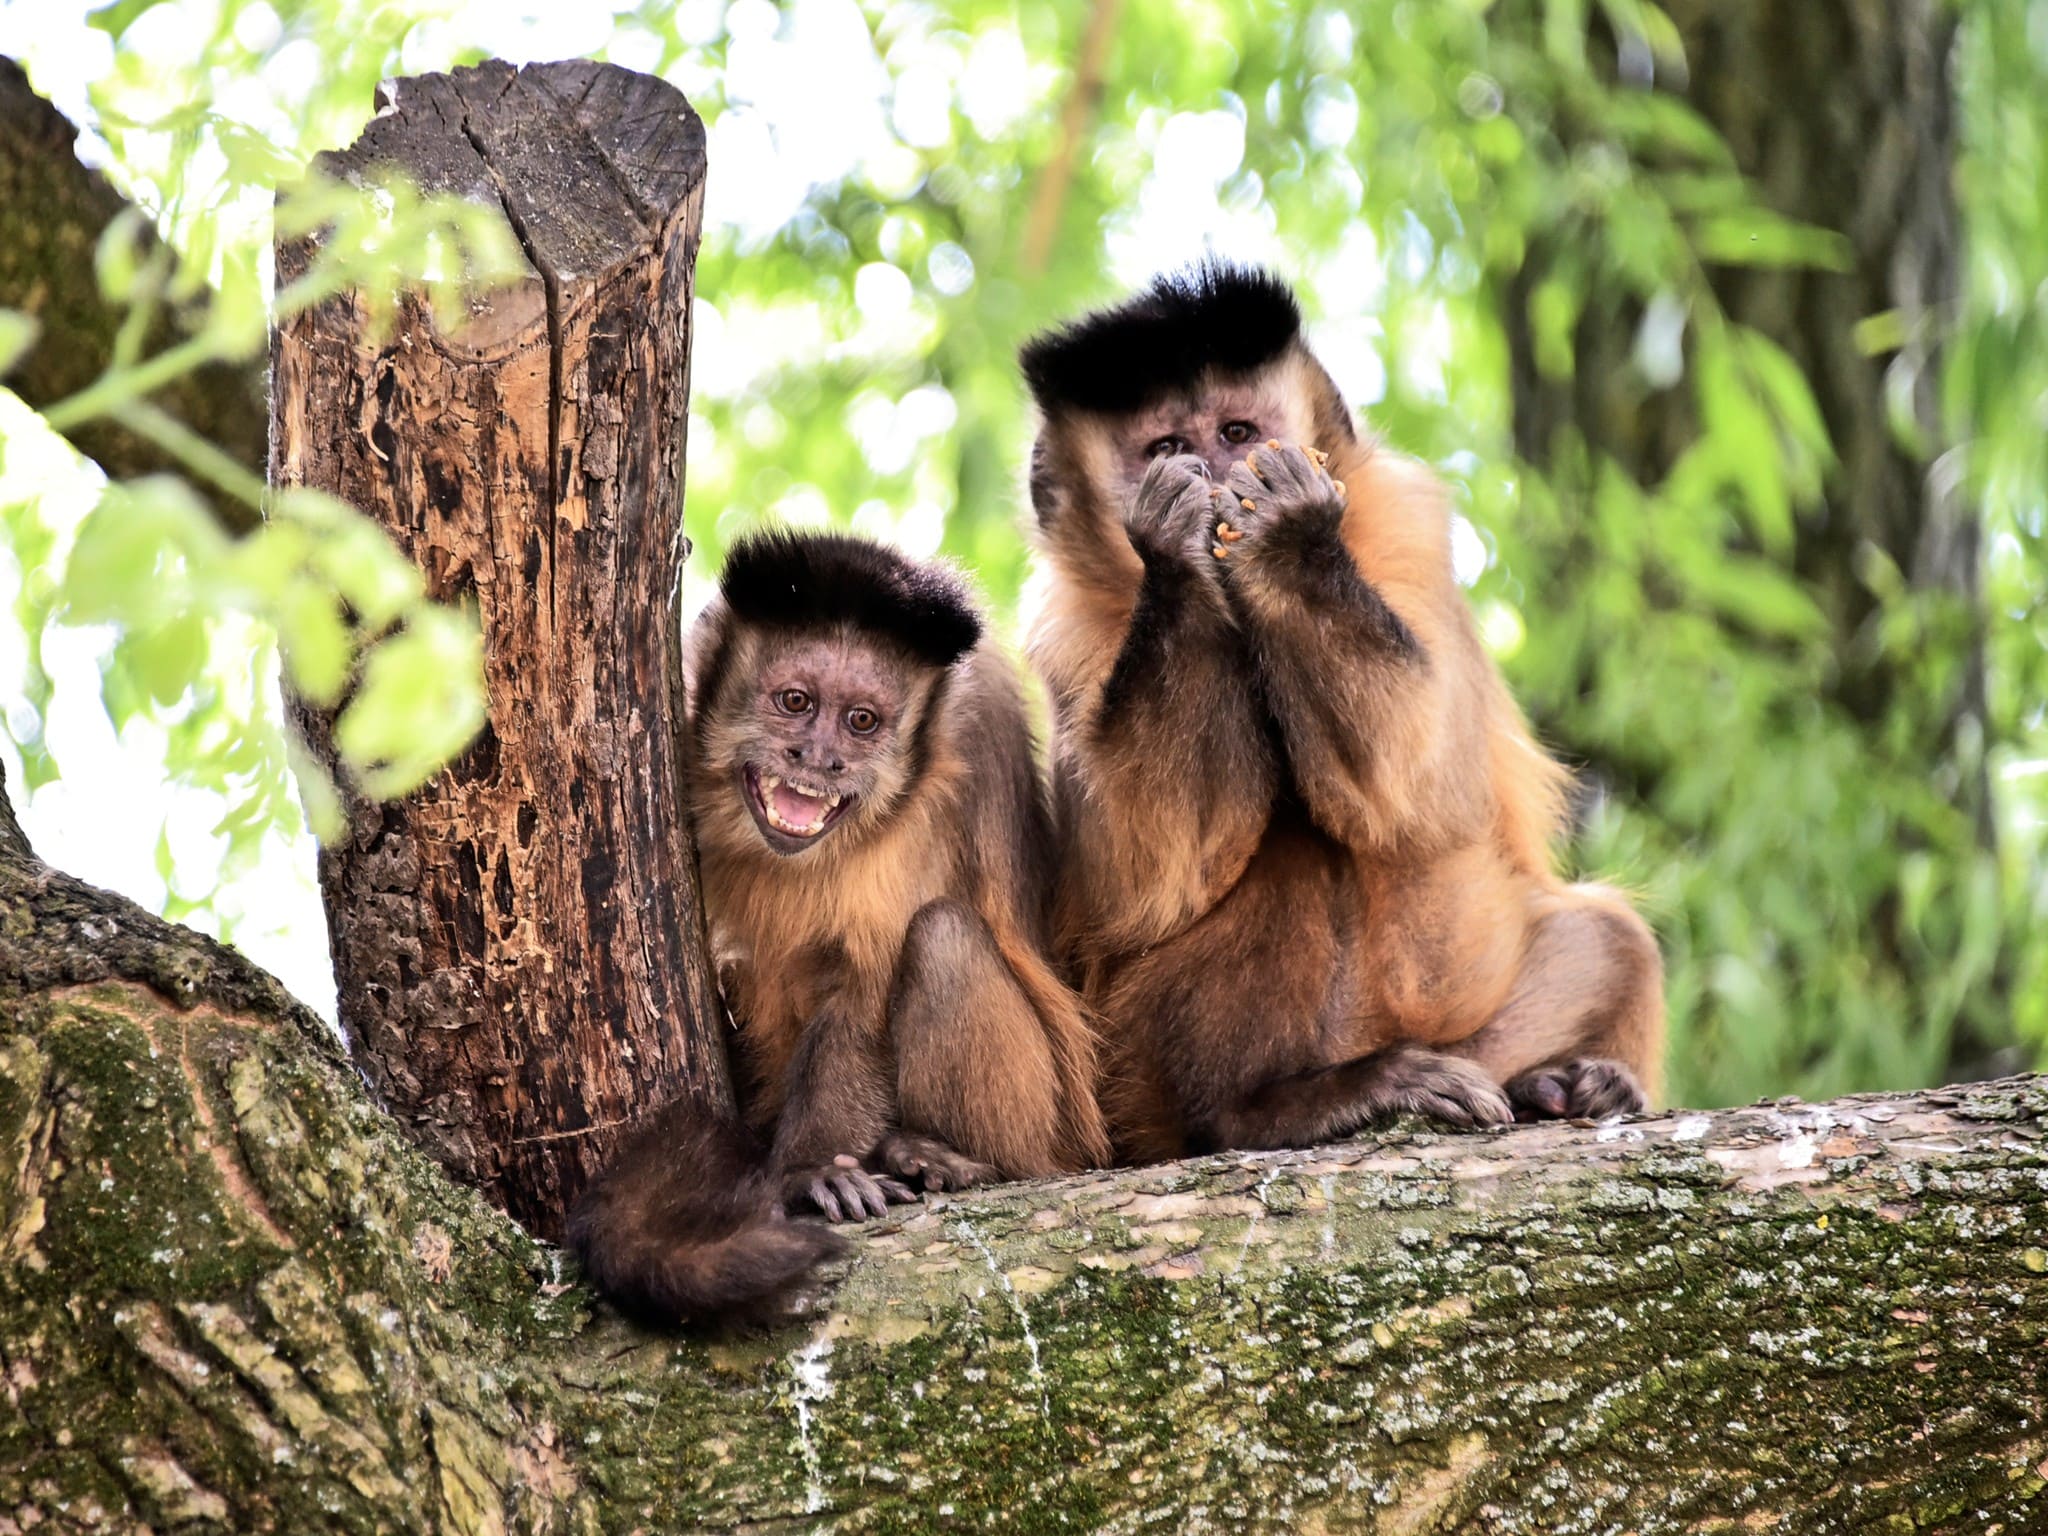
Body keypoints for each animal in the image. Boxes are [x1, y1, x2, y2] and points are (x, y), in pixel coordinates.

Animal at [569, 528, 1114, 1327]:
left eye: (862, 721)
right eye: (795, 702)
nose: (819, 758)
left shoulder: (977, 719)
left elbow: (864, 991)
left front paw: (814, 1167)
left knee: (941, 935)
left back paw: (946, 1160)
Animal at [1024, 264, 1662, 1163]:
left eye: (1237, 431)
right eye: (1168, 448)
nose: (1214, 469)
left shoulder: (1403, 515)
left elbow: (1424, 792)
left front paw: (1287, 536)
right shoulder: (1064, 623)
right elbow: (1139, 886)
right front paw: (1175, 549)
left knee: (1611, 939)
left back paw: (1567, 1088)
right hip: (1124, 1072)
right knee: (1286, 848)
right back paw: (1267, 1106)